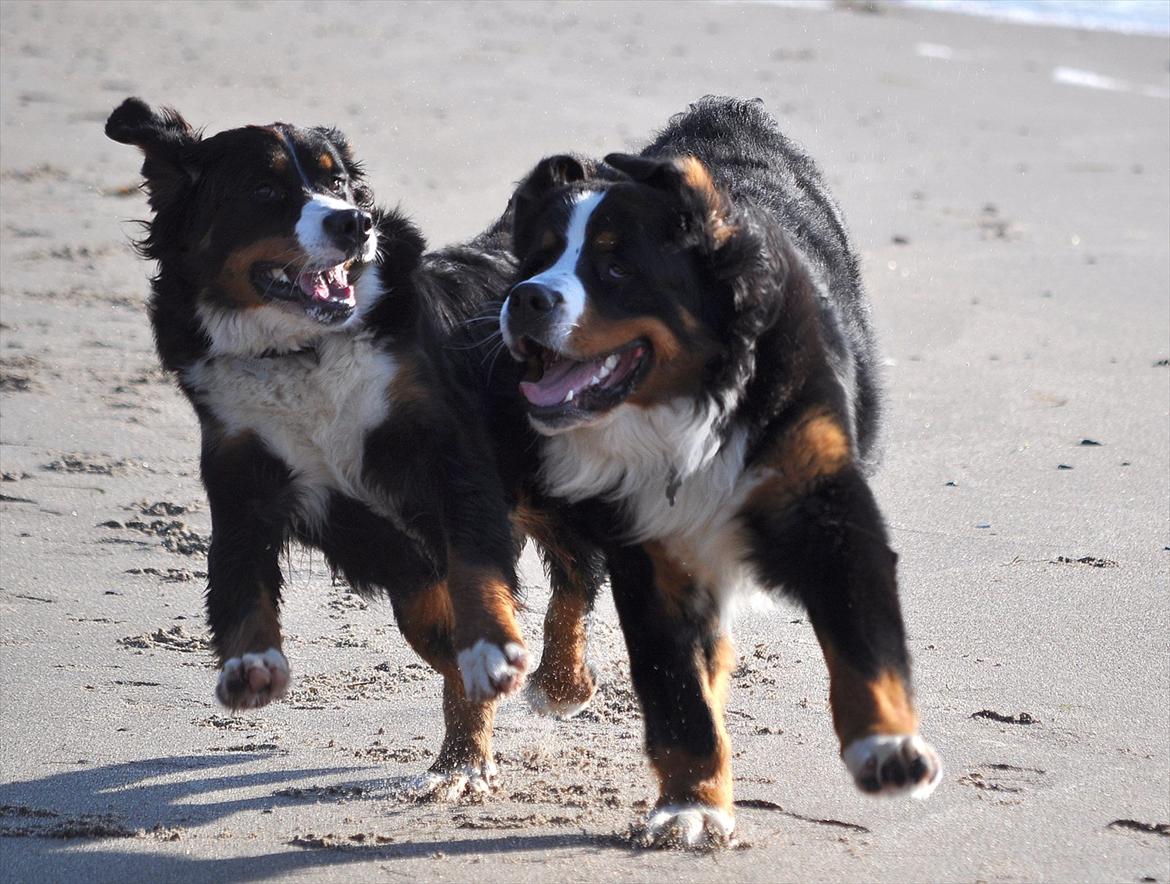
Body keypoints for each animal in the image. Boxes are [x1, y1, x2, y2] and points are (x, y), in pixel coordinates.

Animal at [100, 99, 603, 799]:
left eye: (335, 181)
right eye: (264, 190)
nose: (354, 222)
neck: (299, 351)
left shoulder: (448, 453)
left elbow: (479, 569)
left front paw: (495, 648)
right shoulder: (242, 471)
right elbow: (238, 576)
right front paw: (250, 663)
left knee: (577, 571)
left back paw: (557, 685)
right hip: (413, 580)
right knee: (449, 653)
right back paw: (460, 760)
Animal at [500, 94, 940, 841]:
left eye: (615, 269)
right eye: (536, 257)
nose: (527, 297)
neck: (695, 406)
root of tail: (727, 111)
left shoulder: (826, 503)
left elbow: (863, 640)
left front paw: (888, 748)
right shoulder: (649, 548)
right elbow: (678, 694)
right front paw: (691, 805)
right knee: (576, 579)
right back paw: (562, 681)